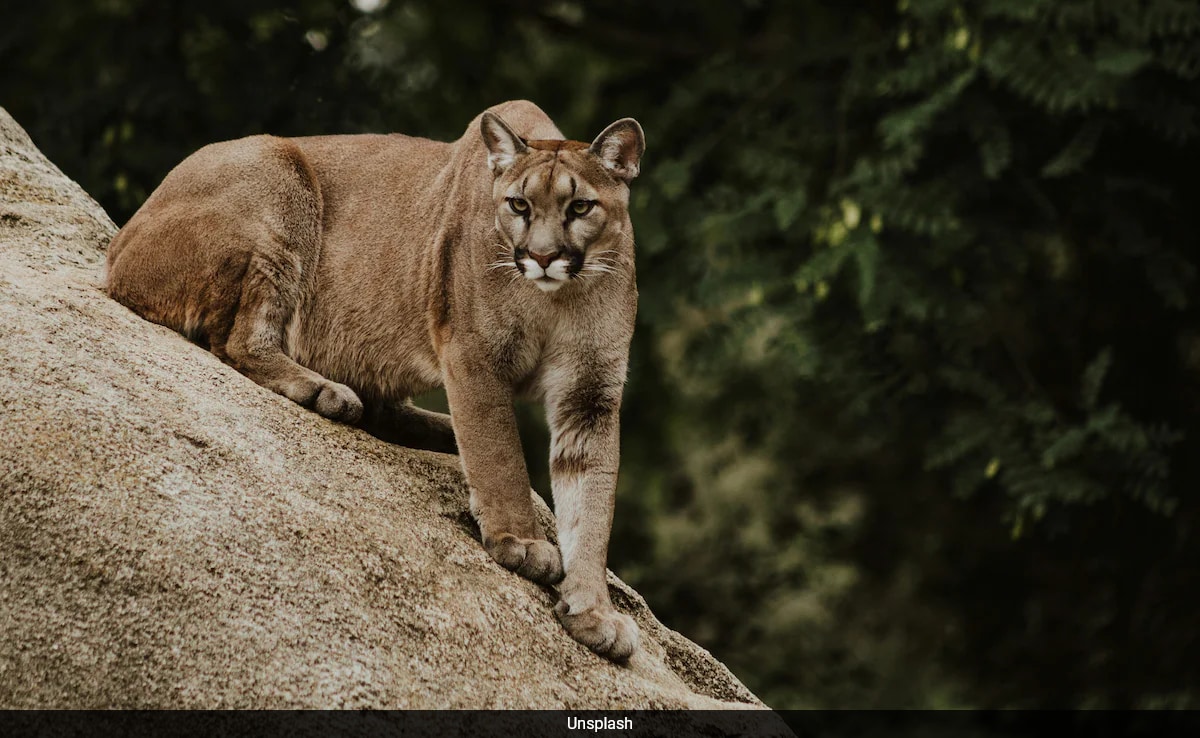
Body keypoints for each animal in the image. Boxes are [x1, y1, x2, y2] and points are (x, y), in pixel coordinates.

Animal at [103, 100, 648, 662]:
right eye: (518, 204)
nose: (541, 258)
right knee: (238, 340)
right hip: (279, 181)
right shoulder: (474, 356)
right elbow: (500, 455)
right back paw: (325, 392)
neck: (555, 299)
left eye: (580, 207)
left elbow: (591, 504)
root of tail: (117, 247)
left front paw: (593, 611)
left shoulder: (590, 394)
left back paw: (430, 429)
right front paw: (522, 542)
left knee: (382, 406)